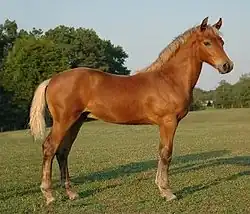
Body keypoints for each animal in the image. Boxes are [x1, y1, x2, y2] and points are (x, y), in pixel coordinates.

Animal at [29, 16, 234, 204]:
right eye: (207, 42)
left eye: (222, 42)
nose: (227, 66)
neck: (169, 79)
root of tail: (52, 80)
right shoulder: (169, 122)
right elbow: (166, 153)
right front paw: (167, 191)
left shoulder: (164, 124)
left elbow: (161, 152)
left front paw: (161, 187)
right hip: (64, 121)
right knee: (49, 148)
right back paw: (49, 195)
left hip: (76, 122)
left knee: (63, 152)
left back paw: (71, 193)